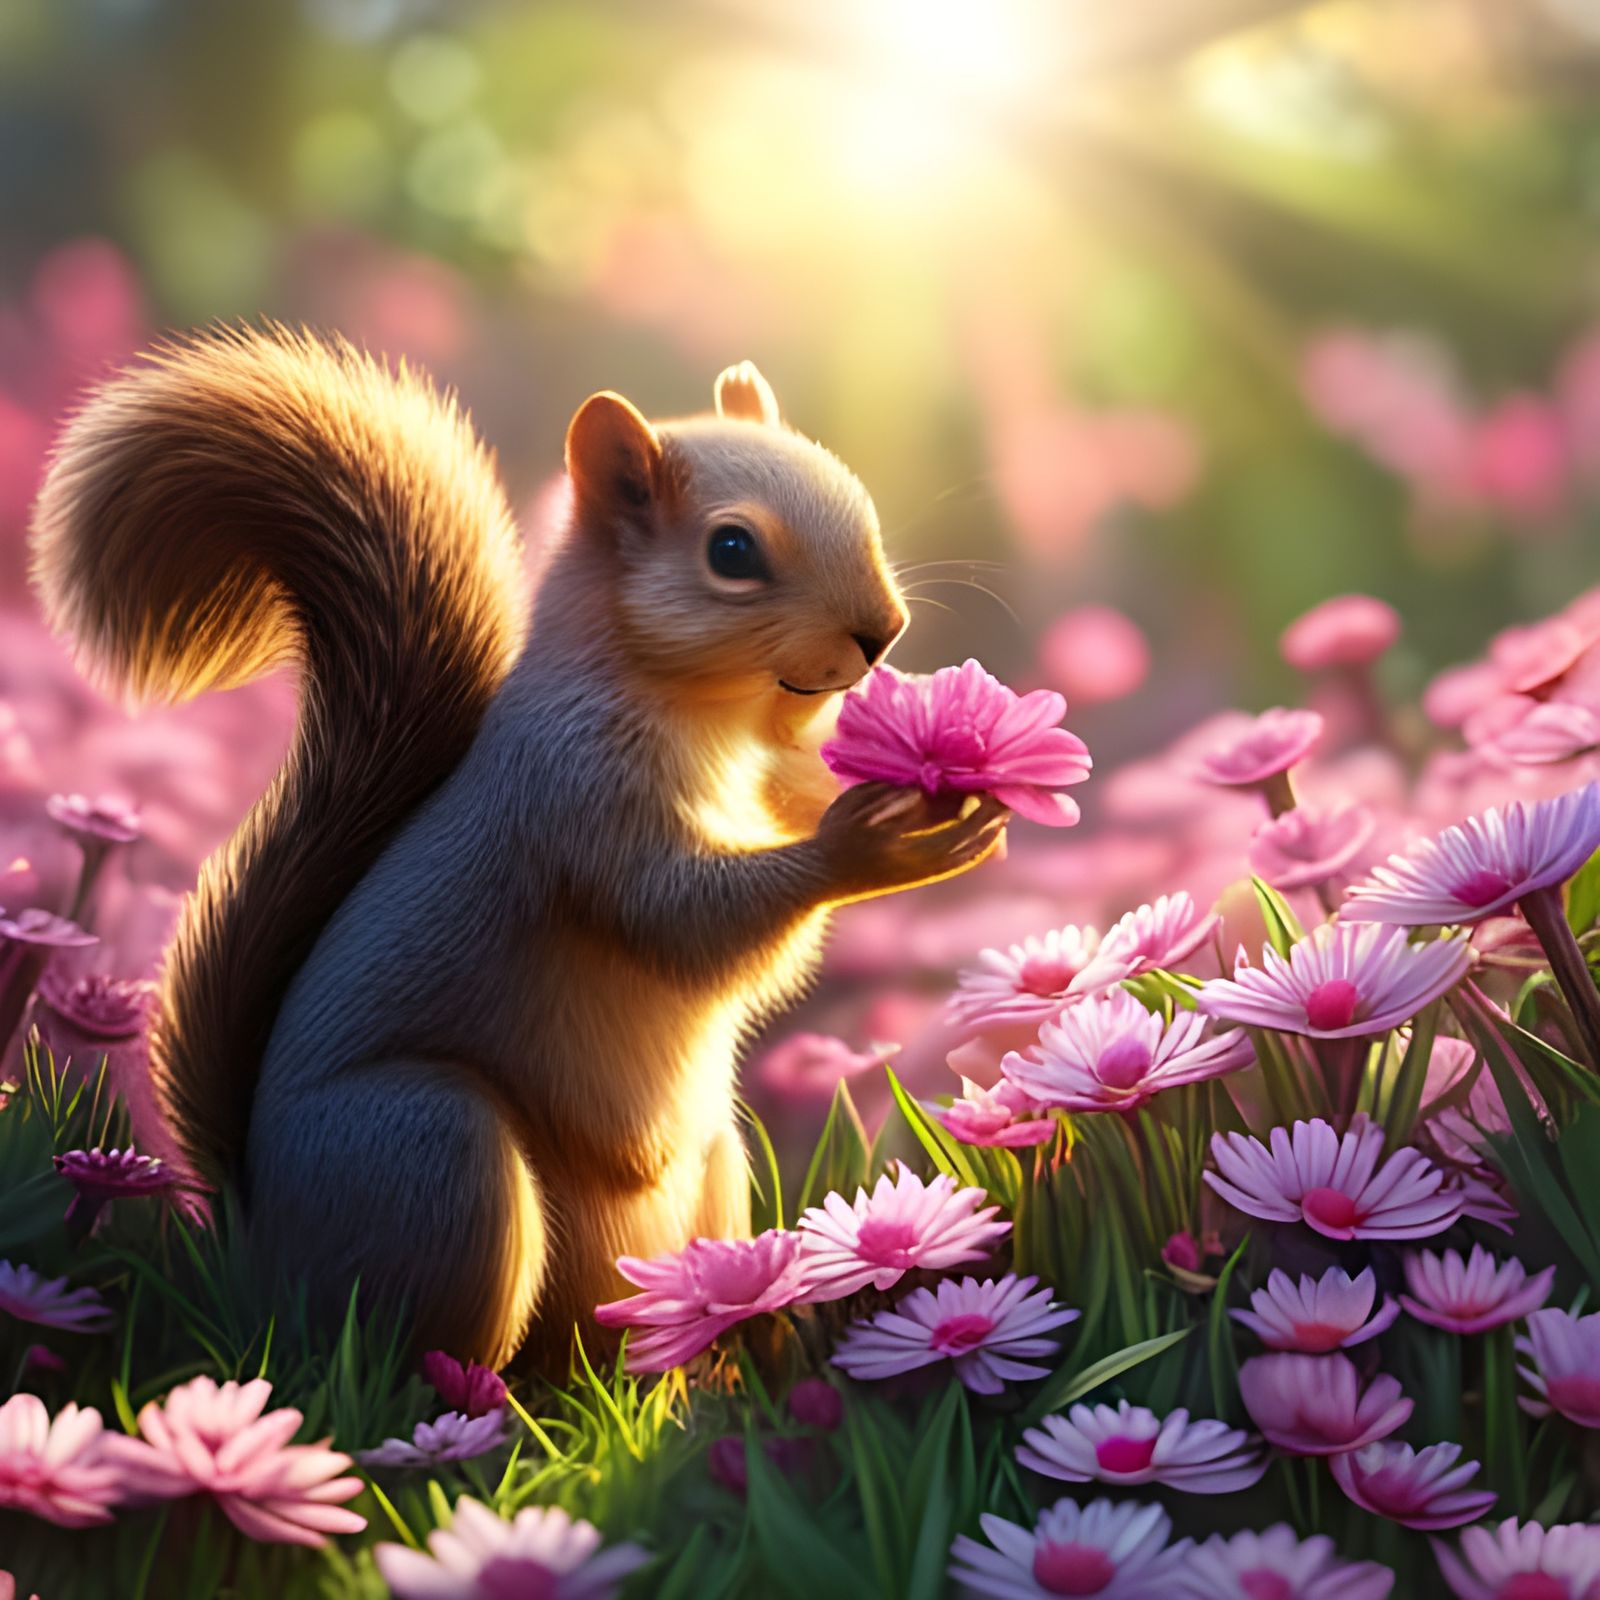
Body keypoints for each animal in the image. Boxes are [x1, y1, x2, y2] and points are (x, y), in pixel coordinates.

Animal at [30, 327, 1009, 1369]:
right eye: (732, 551)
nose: (883, 633)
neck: (714, 723)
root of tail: (255, 1251)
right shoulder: (573, 793)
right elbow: (682, 919)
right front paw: (877, 845)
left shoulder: (765, 777)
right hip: (430, 1154)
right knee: (414, 1360)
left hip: (713, 1169)